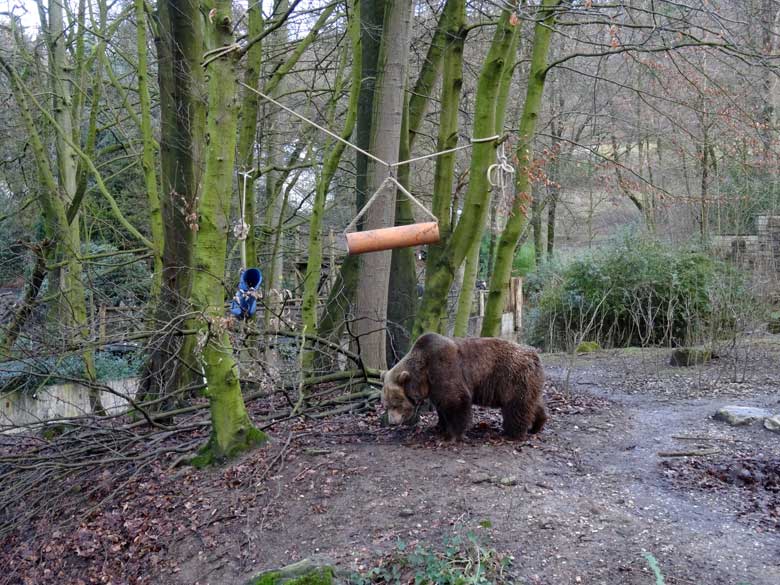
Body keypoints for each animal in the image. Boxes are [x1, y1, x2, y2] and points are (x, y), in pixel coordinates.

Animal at [380, 334, 544, 438]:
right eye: (385, 405)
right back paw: (537, 425)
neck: (423, 375)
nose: (392, 422)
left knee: (516, 406)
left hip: (512, 377)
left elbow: (456, 400)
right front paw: (439, 426)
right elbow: (441, 406)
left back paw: (512, 432)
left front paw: (454, 433)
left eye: (395, 404)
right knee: (532, 403)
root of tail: (534, 354)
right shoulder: (434, 386)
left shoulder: (443, 368)